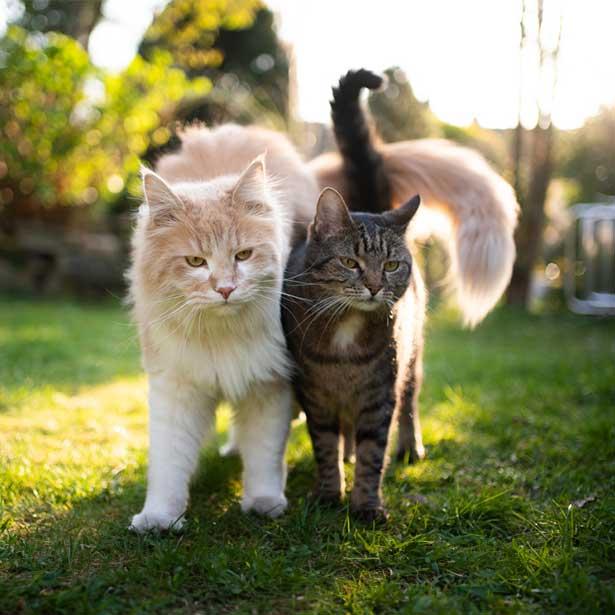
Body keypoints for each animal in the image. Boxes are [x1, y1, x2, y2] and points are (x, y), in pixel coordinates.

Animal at [126, 122, 318, 532]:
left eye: (243, 255)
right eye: (195, 262)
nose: (226, 289)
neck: (220, 334)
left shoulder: (269, 383)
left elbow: (264, 455)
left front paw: (264, 503)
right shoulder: (175, 388)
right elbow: (168, 465)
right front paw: (159, 518)